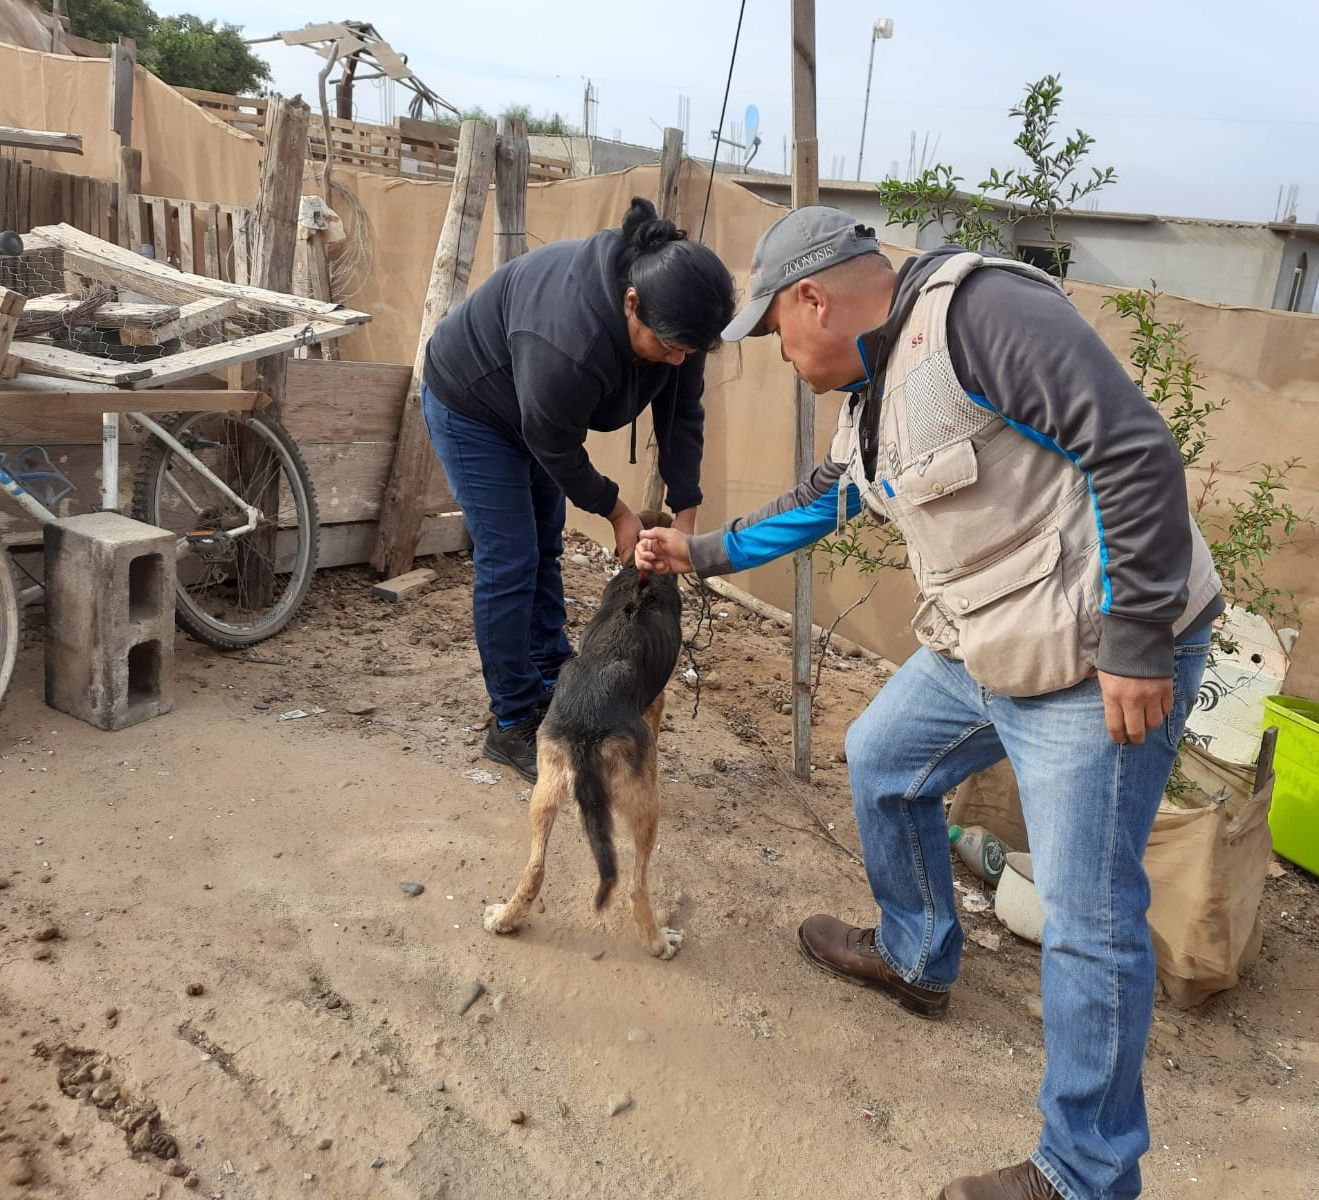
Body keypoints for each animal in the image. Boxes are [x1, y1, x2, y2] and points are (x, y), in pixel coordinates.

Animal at [488, 514, 691, 960]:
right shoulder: (658, 701)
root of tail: (587, 727)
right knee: (635, 886)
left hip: (544, 789)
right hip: (645, 806)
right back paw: (658, 941)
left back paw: (505, 919)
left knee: (535, 867)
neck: (642, 580)